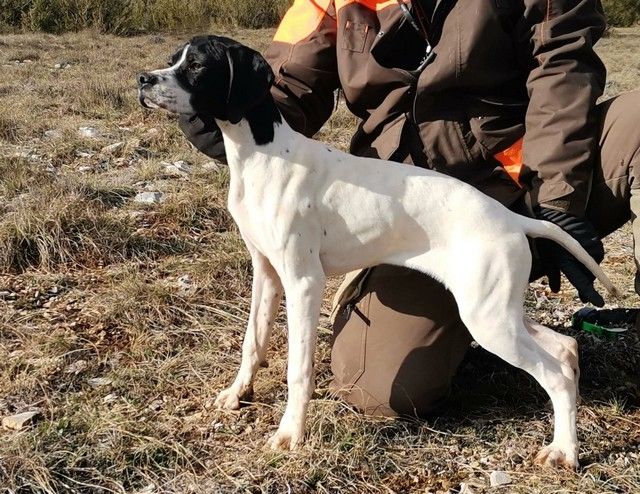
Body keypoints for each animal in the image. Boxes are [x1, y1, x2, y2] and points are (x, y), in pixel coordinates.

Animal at [140, 34, 620, 466]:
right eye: (175, 58)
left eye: (198, 66)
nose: (143, 80)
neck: (264, 155)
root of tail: (512, 218)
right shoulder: (267, 273)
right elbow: (252, 342)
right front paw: (238, 394)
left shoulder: (303, 283)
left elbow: (299, 369)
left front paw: (290, 434)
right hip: (497, 310)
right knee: (565, 349)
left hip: (487, 320)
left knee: (555, 376)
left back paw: (564, 452)